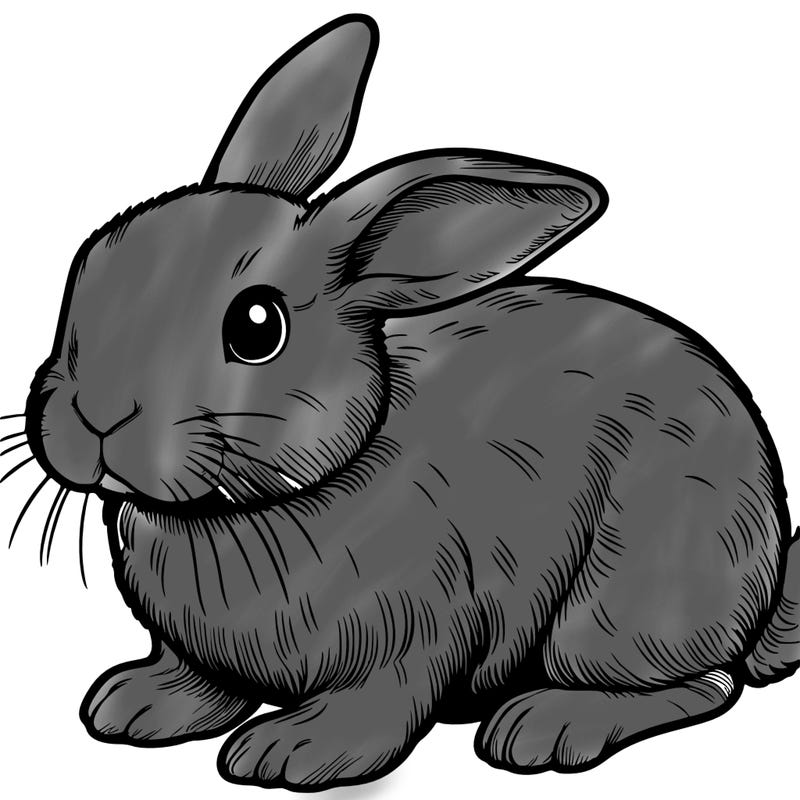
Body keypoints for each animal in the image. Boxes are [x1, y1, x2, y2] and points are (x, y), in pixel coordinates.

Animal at [14, 11, 800, 792]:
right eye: (91, 260)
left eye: (257, 327)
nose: (94, 416)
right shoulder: (201, 652)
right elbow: (200, 681)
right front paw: (134, 704)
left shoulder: (416, 629)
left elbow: (381, 702)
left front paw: (292, 751)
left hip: (624, 602)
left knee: (703, 684)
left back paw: (544, 725)